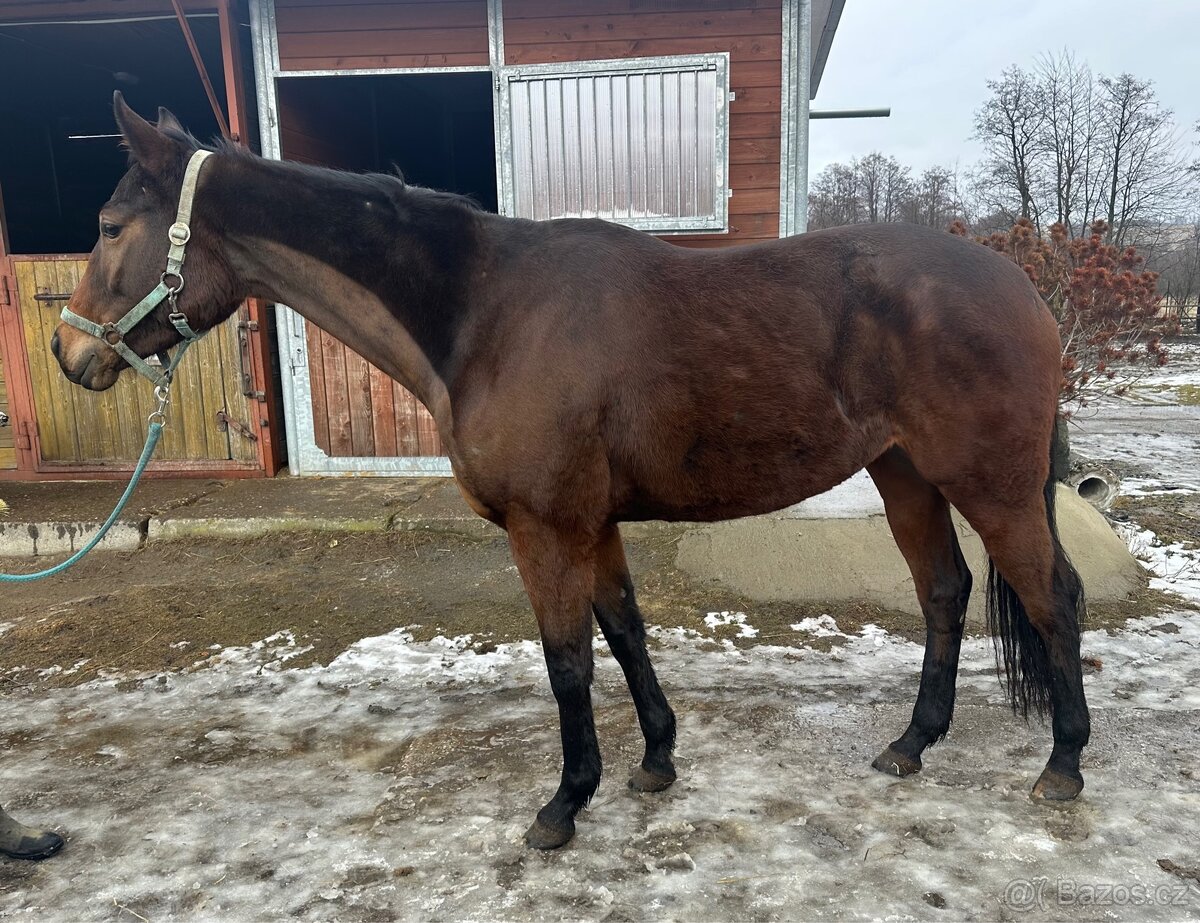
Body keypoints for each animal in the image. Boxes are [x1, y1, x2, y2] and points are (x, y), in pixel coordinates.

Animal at [10, 92, 1089, 858]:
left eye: (109, 225)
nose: (70, 352)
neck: (485, 314)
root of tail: (1023, 288)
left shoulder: (545, 527)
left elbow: (567, 658)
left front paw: (564, 804)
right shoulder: (592, 522)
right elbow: (625, 630)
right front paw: (655, 759)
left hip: (989, 482)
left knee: (1052, 598)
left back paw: (1064, 764)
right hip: (906, 475)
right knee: (946, 591)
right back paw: (913, 743)